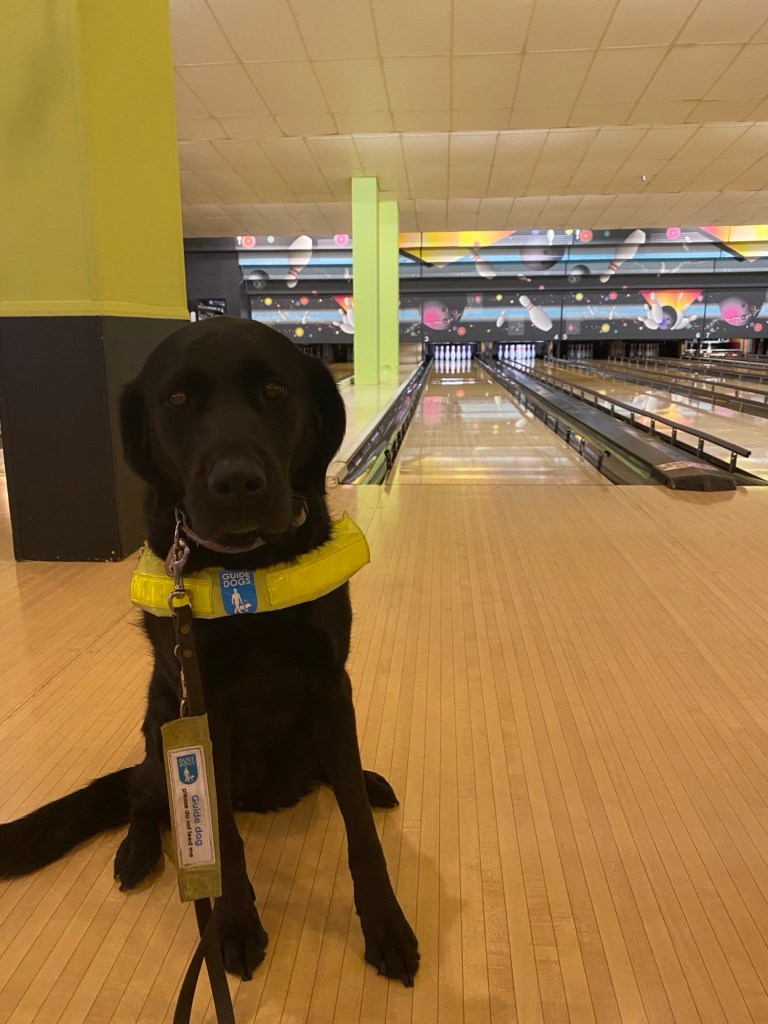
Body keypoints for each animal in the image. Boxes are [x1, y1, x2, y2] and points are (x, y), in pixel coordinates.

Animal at [0, 318, 419, 986]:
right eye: (176, 399)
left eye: (274, 390)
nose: (236, 482)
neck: (245, 567)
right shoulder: (203, 713)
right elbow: (221, 832)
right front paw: (234, 926)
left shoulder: (332, 687)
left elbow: (358, 828)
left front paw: (386, 925)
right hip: (160, 723)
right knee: (142, 794)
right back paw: (137, 850)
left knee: (336, 773)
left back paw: (366, 778)